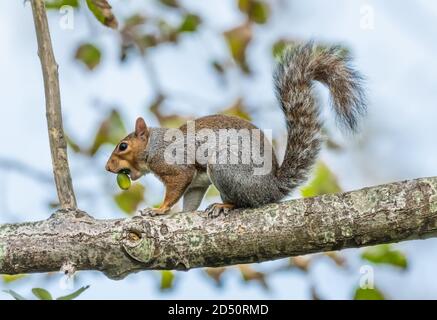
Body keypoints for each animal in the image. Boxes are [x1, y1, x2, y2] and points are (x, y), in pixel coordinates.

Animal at [104, 42, 364, 218]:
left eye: (123, 146)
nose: (107, 168)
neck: (155, 145)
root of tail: (270, 189)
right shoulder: (196, 184)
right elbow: (190, 200)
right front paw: (182, 214)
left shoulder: (177, 167)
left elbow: (176, 187)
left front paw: (159, 210)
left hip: (224, 167)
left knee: (244, 202)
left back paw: (224, 205)